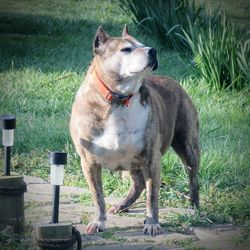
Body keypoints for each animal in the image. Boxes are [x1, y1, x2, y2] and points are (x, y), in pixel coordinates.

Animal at [70, 24, 199, 235]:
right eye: (126, 49)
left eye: (143, 44)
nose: (153, 50)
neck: (119, 100)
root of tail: (173, 81)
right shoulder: (89, 162)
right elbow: (98, 196)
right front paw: (98, 221)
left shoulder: (152, 158)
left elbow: (152, 195)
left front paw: (152, 223)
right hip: (132, 161)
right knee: (138, 184)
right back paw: (121, 205)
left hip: (188, 147)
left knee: (193, 178)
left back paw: (195, 209)